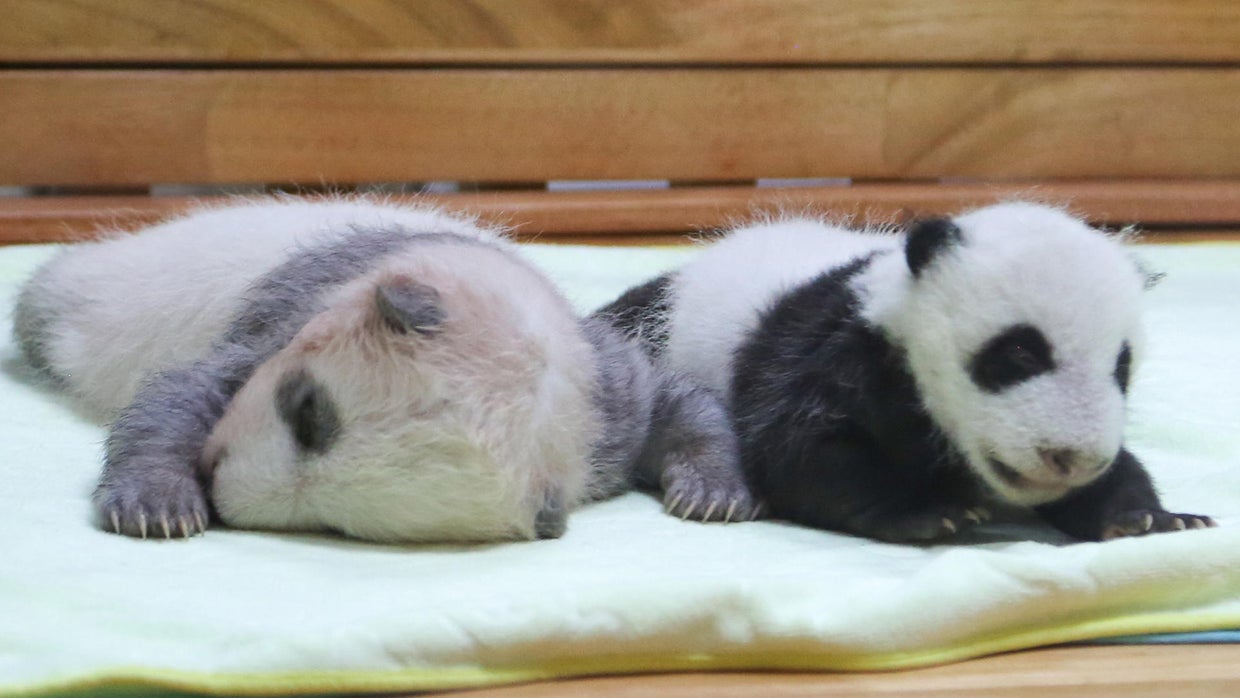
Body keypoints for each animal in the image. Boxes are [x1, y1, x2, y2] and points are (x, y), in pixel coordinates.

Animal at [13, 198, 756, 543]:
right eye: (307, 410)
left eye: (335, 525)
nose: (220, 490)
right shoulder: (291, 315)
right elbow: (182, 389)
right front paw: (158, 504)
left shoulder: (605, 401)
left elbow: (678, 403)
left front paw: (712, 493)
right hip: (113, 288)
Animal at [597, 202, 1216, 543]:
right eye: (1018, 354)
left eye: (1122, 367)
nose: (1071, 459)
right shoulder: (832, 354)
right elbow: (801, 453)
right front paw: (928, 512)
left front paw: (1151, 518)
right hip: (664, 327)